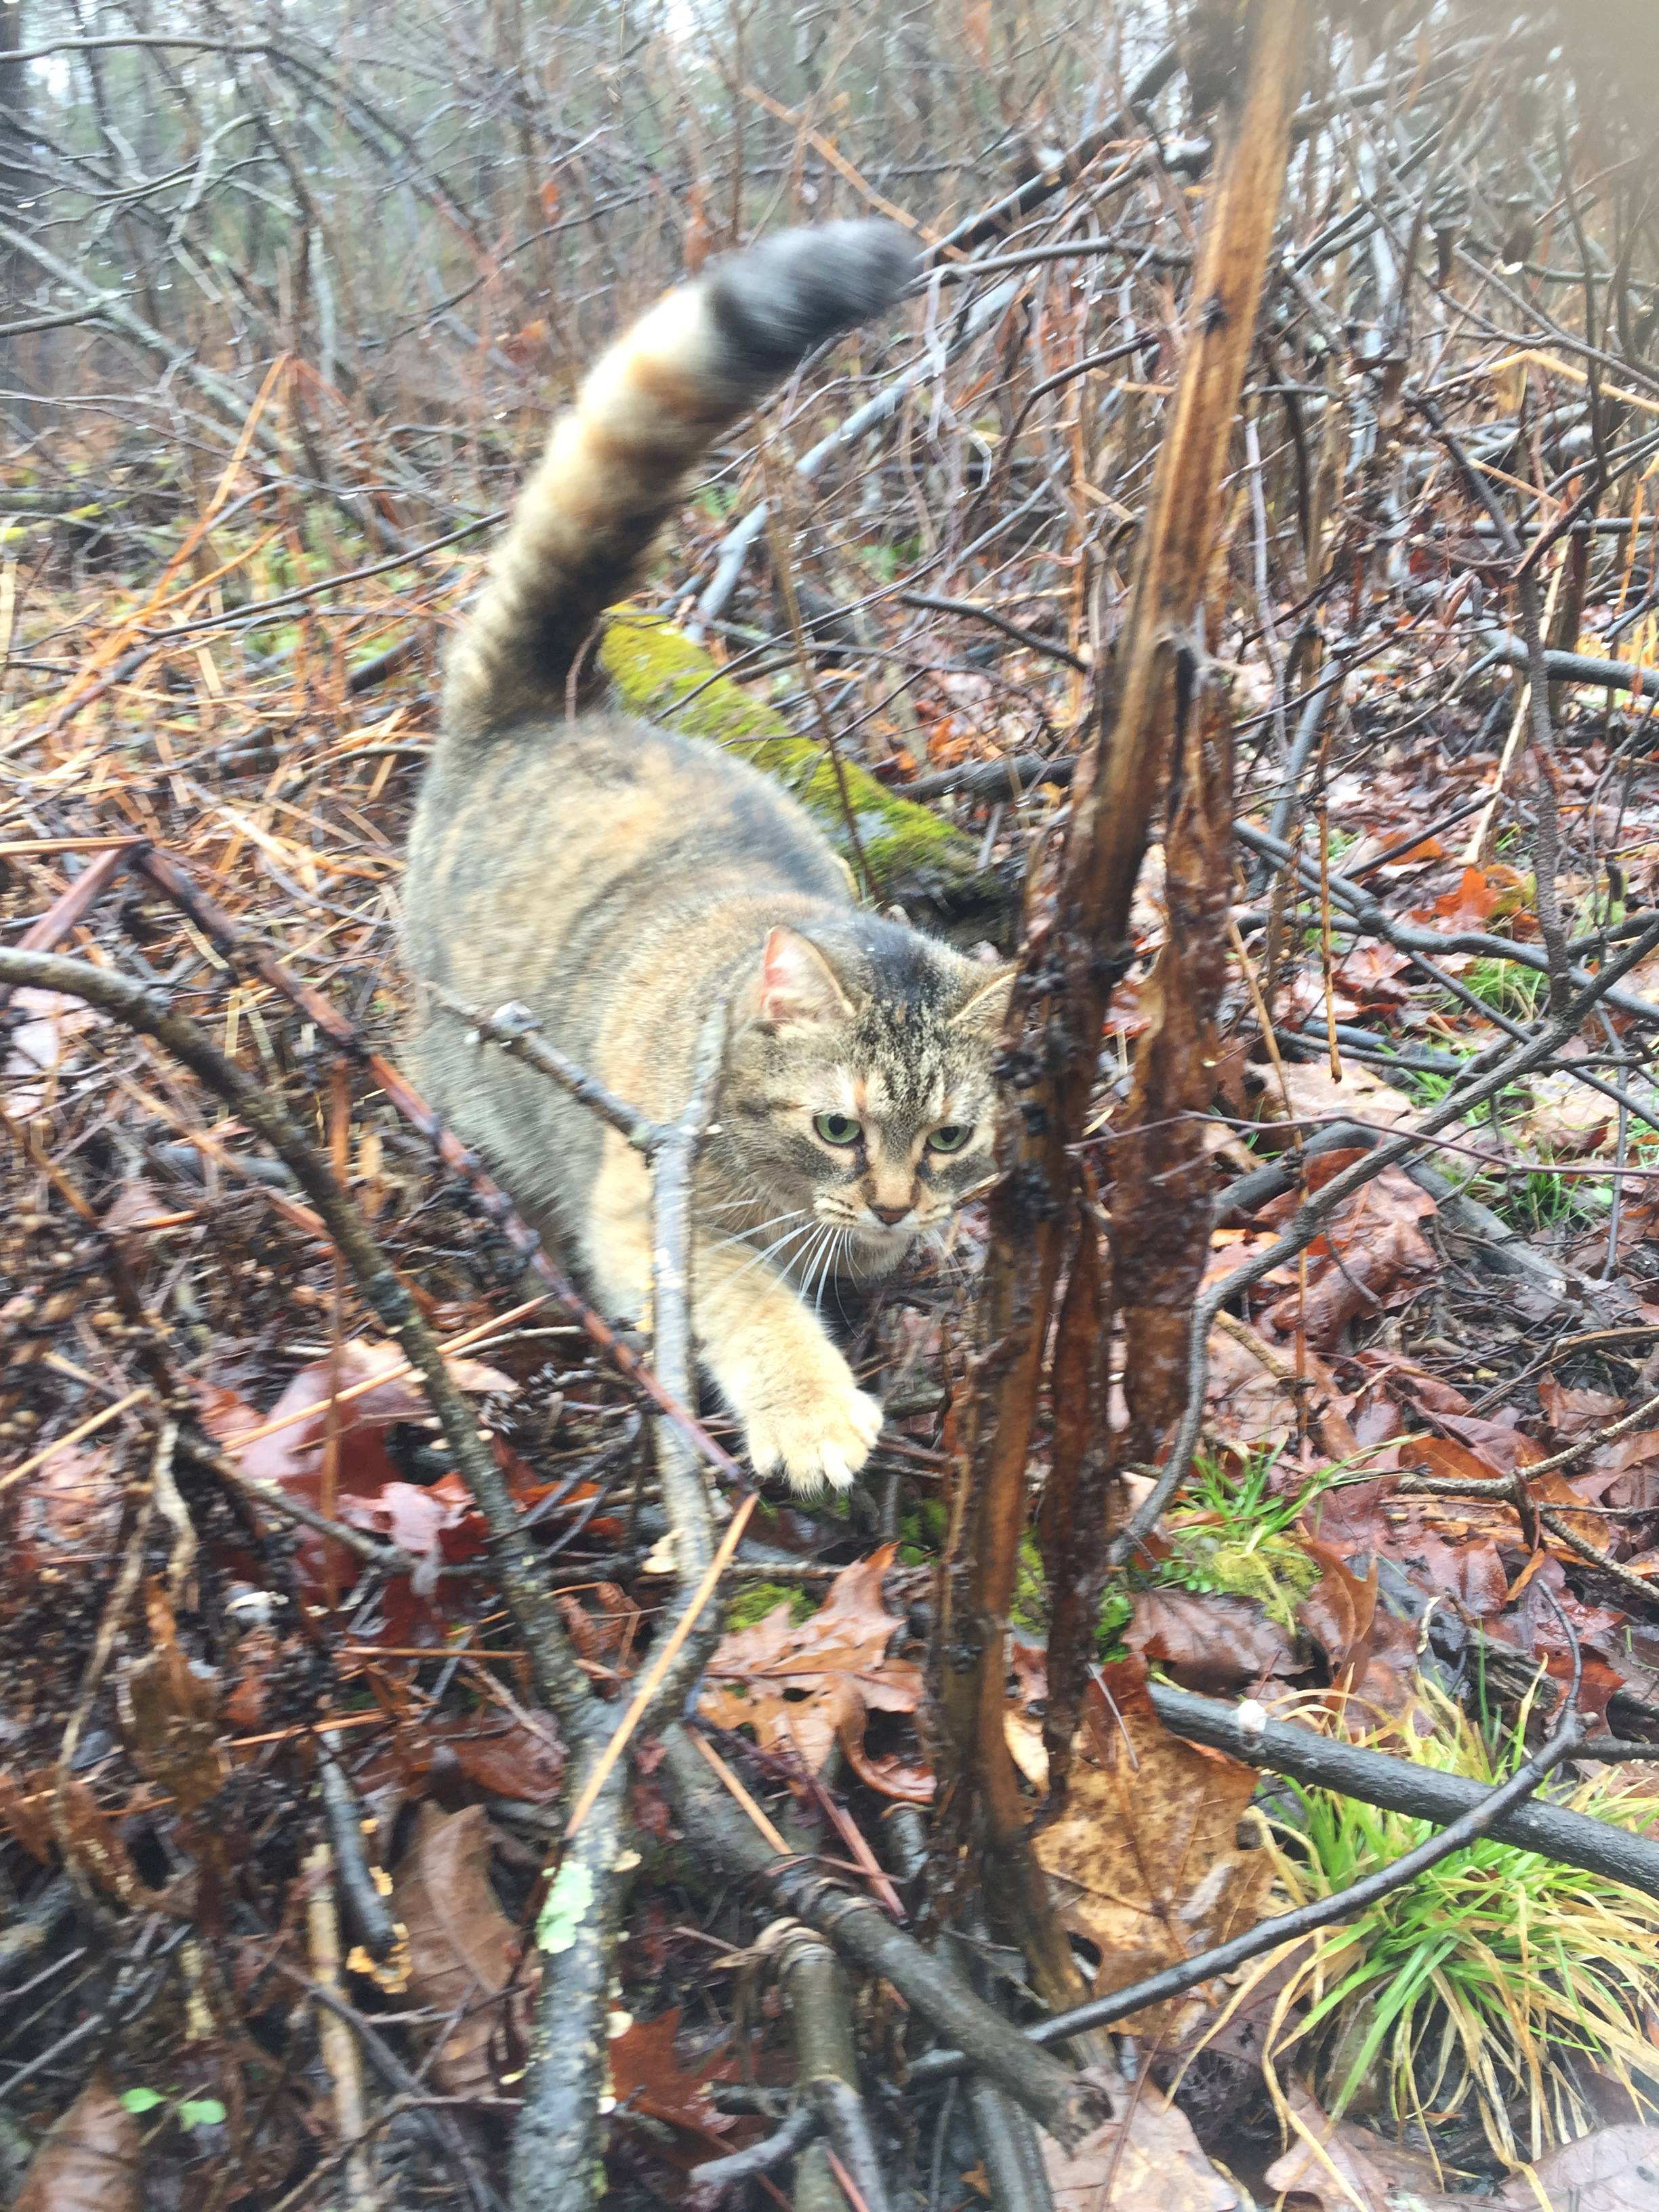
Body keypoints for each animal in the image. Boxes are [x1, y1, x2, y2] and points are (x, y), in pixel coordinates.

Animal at [409, 224, 1021, 1495]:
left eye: (948, 1135)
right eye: (837, 1127)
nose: (896, 1207)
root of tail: (552, 704)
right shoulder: (650, 1209)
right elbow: (747, 1294)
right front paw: (811, 1406)